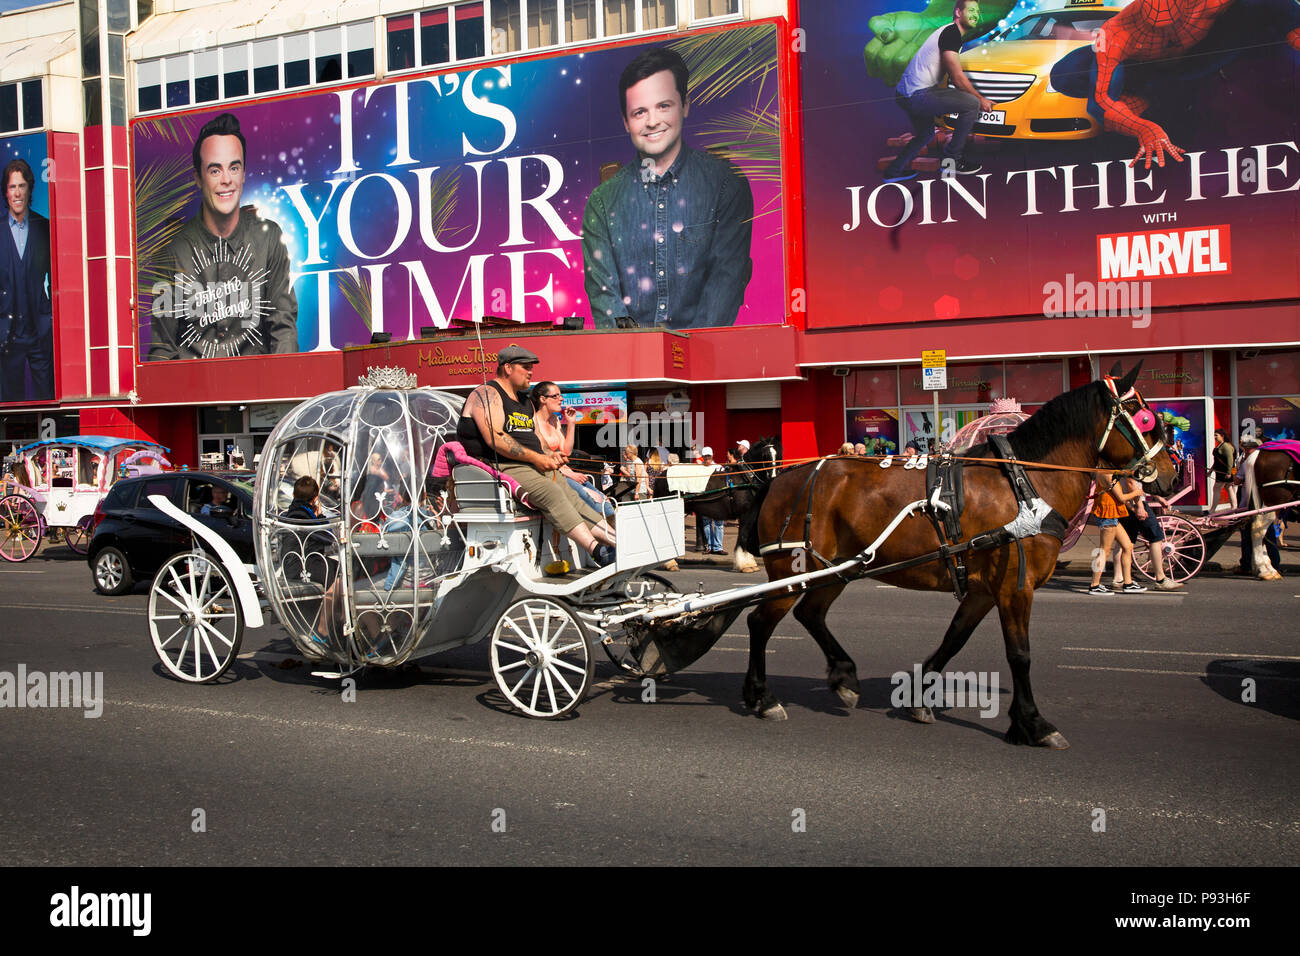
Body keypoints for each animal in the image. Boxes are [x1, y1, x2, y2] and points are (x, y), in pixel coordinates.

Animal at [733, 364, 1180, 749]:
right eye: (1142, 416)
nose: (1171, 471)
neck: (1024, 483)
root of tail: (780, 479)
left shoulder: (984, 590)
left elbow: (954, 640)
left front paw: (919, 698)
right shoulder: (1016, 587)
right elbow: (1020, 654)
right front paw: (1034, 723)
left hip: (836, 570)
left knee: (810, 614)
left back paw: (842, 677)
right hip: (794, 570)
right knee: (760, 621)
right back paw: (762, 697)